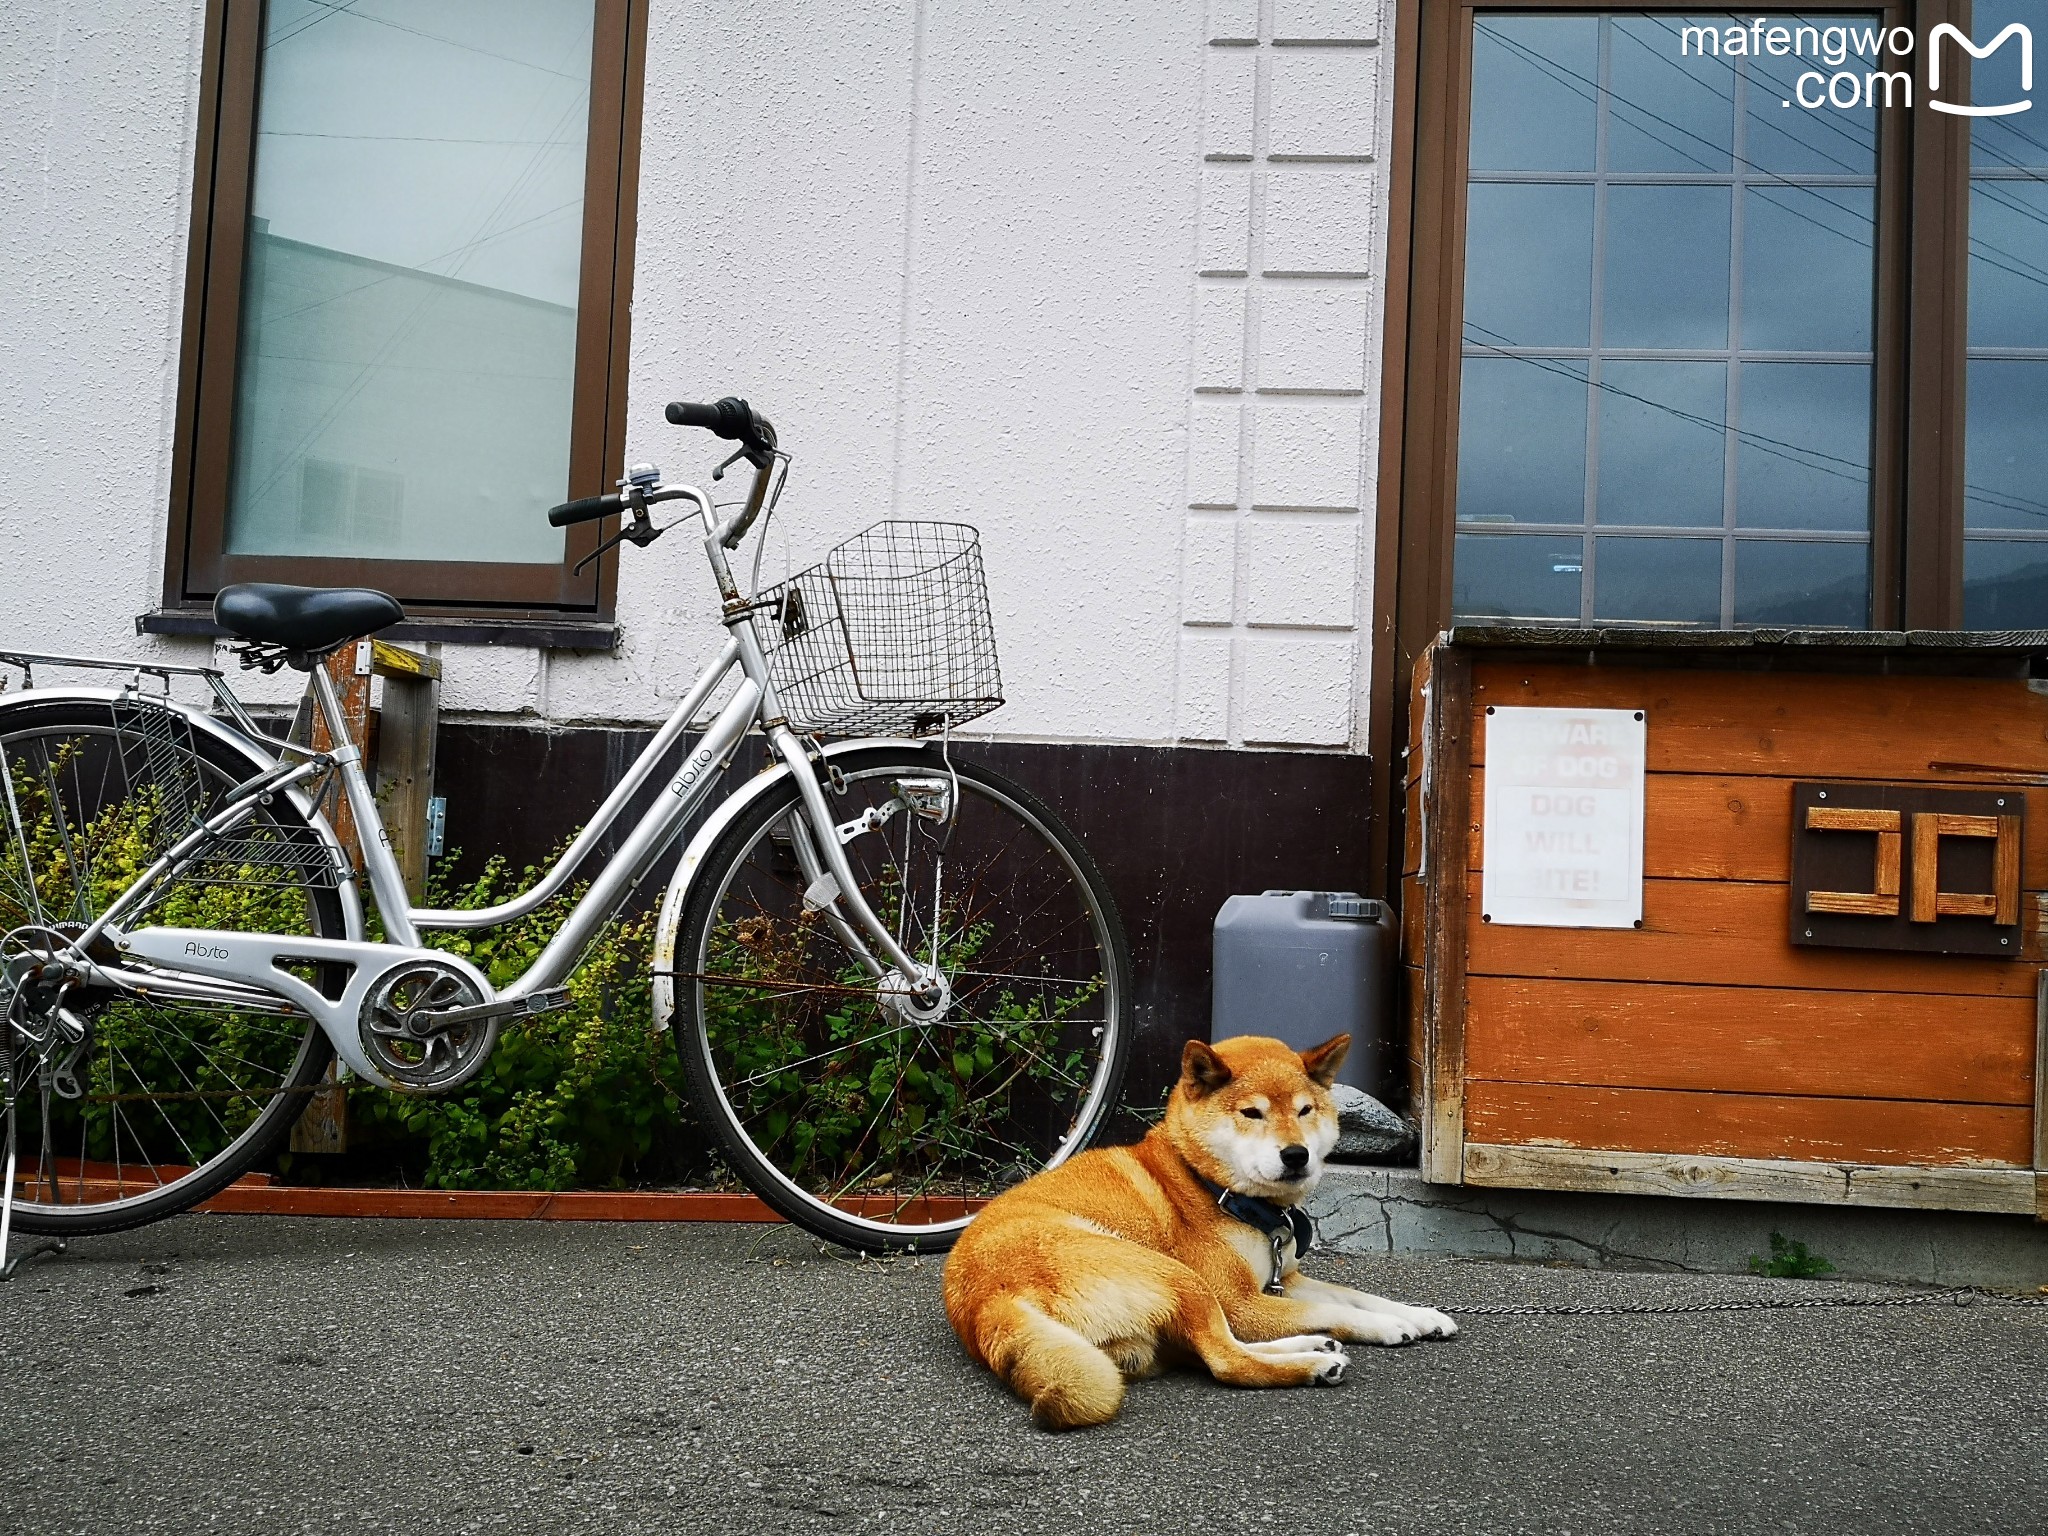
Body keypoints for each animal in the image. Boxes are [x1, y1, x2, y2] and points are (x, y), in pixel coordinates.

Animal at [942, 1036, 1458, 1433]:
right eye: (1252, 1113)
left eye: (1305, 1110)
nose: (1296, 1155)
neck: (1211, 1187)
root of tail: (986, 1303)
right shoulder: (1241, 1301)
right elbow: (1336, 1309)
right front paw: (1390, 1326)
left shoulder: (1283, 1279)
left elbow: (1357, 1296)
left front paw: (1423, 1314)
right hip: (1177, 1278)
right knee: (1227, 1362)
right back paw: (1311, 1363)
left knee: (1218, 1348)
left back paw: (1311, 1346)